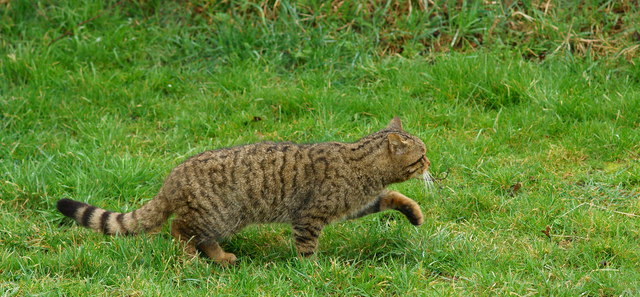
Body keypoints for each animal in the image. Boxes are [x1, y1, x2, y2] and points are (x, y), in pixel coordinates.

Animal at [57, 116, 432, 264]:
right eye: (421, 156)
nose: (432, 163)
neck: (364, 166)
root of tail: (172, 177)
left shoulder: (357, 204)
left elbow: (394, 197)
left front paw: (414, 213)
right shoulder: (309, 216)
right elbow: (306, 248)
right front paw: (314, 270)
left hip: (224, 219)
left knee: (197, 235)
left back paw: (220, 257)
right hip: (219, 216)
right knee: (180, 228)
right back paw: (192, 258)